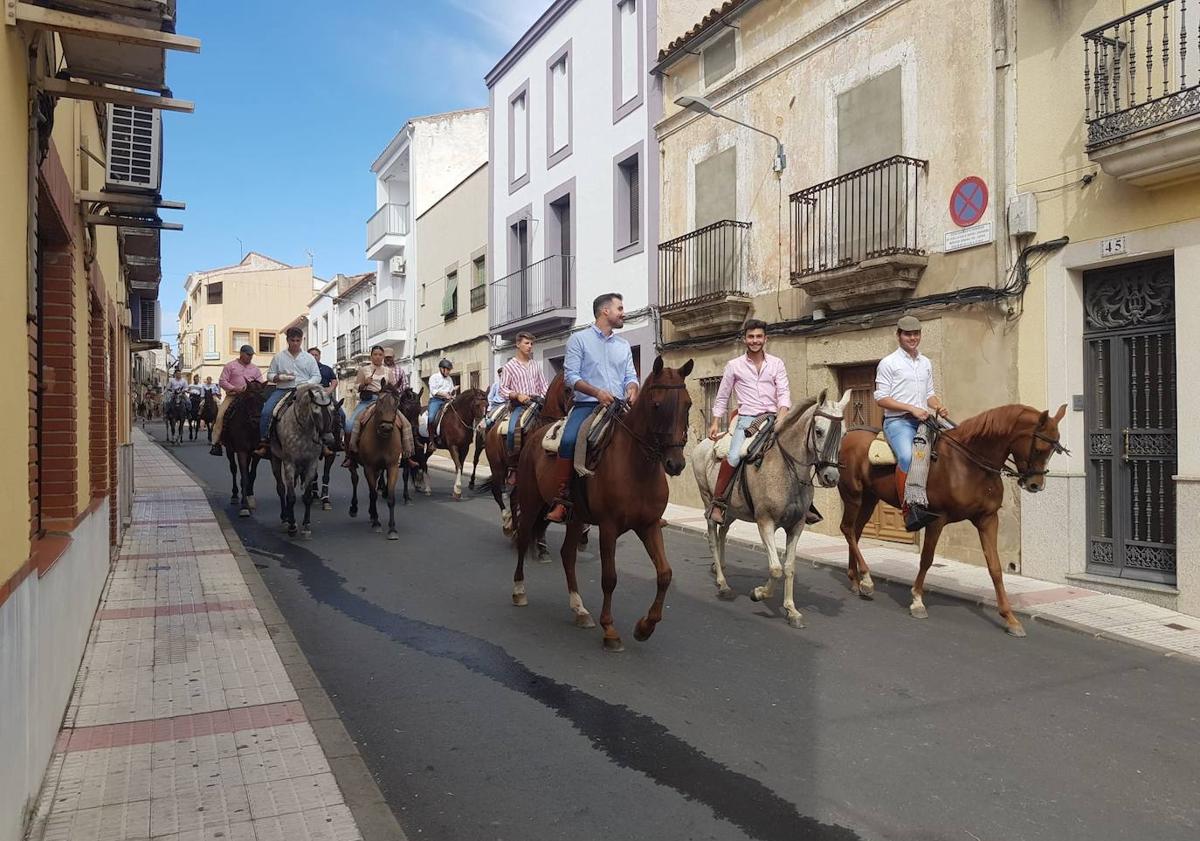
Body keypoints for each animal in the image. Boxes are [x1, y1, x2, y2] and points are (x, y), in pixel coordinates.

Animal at [222, 381, 268, 515]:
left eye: (264, 398)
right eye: (249, 398)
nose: (257, 421)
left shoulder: (256, 453)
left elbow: (251, 474)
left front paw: (250, 497)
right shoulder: (241, 451)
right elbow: (244, 477)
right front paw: (244, 506)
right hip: (230, 450)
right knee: (233, 469)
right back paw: (234, 495)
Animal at [508, 355, 696, 647]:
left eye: (688, 404)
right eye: (656, 405)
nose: (675, 464)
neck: (636, 466)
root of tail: (536, 436)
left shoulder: (649, 525)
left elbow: (665, 574)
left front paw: (645, 627)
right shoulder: (609, 527)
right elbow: (610, 577)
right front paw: (610, 630)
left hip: (575, 518)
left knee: (567, 554)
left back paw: (579, 609)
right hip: (531, 504)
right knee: (524, 538)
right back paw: (519, 591)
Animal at [691, 391, 849, 628]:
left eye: (844, 433)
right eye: (819, 431)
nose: (831, 476)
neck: (787, 469)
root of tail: (705, 444)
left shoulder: (796, 526)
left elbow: (789, 567)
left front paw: (792, 610)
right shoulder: (765, 522)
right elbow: (775, 569)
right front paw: (758, 593)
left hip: (732, 511)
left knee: (722, 533)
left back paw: (722, 569)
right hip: (708, 501)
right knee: (712, 537)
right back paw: (722, 583)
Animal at [835, 403, 1070, 633]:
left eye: (1052, 450)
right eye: (1039, 448)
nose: (1035, 484)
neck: (968, 464)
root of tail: (847, 438)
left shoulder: (988, 519)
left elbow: (995, 567)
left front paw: (1010, 618)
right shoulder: (936, 519)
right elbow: (927, 559)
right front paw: (917, 601)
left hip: (869, 499)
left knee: (855, 532)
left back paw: (856, 580)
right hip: (853, 496)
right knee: (847, 529)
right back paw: (866, 579)